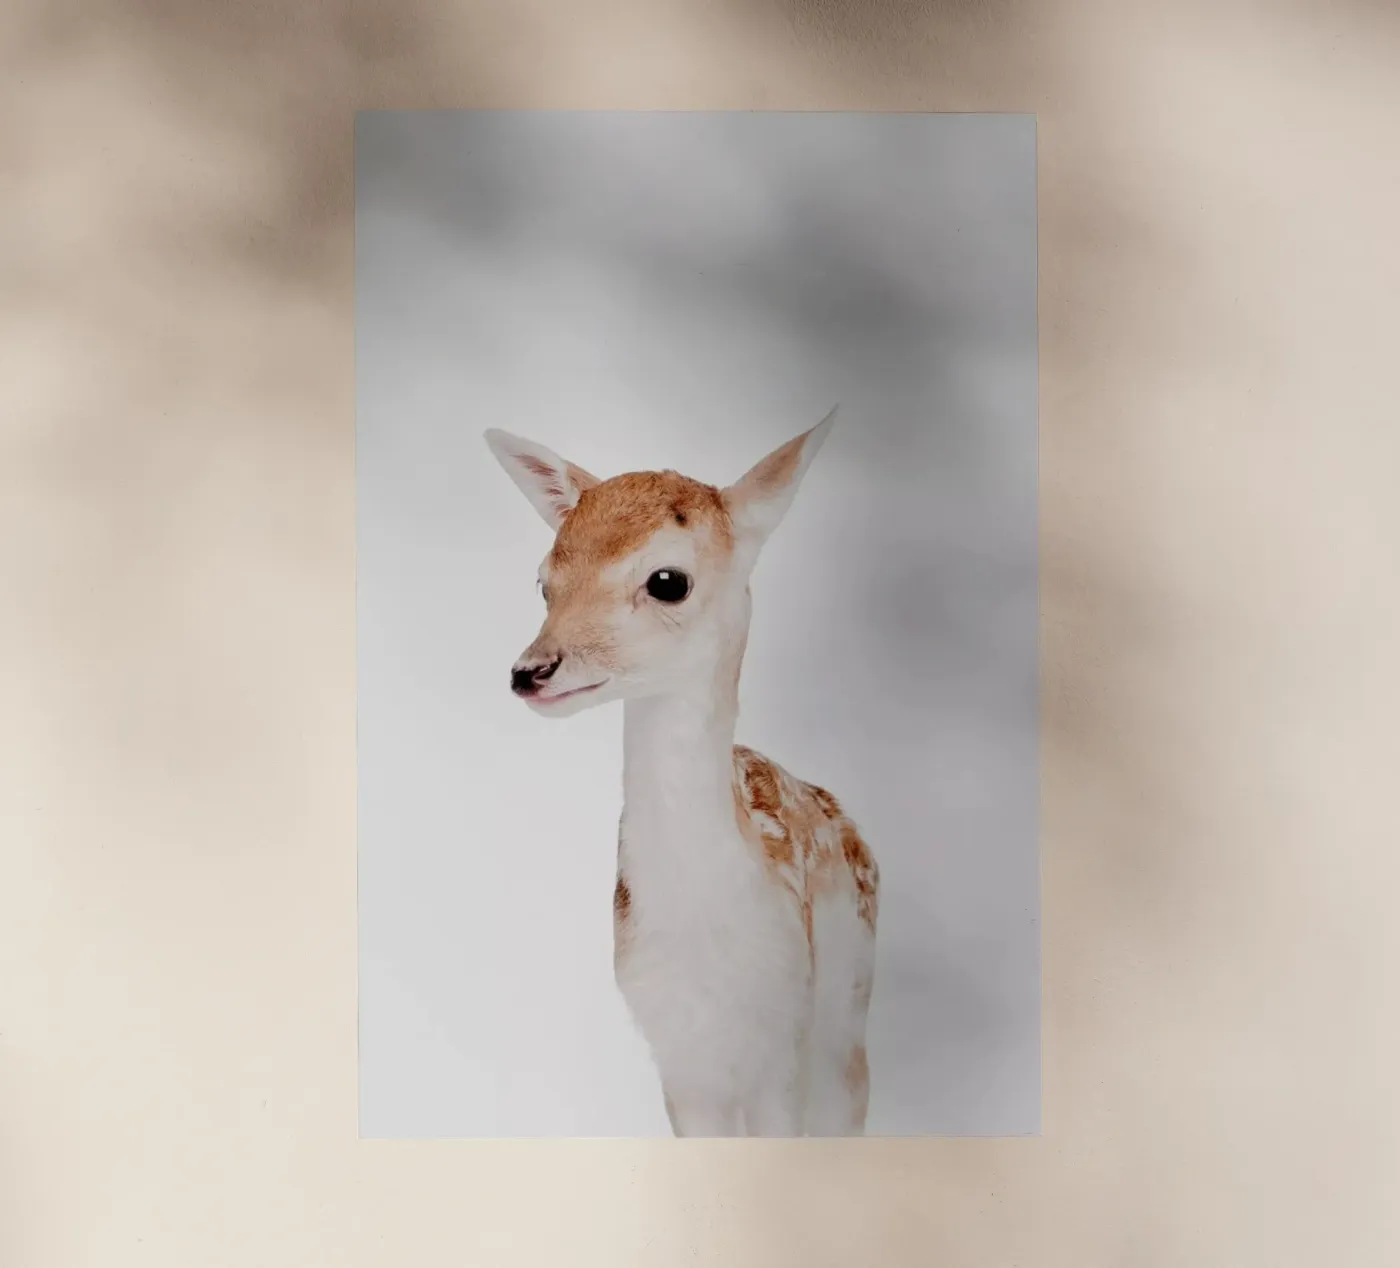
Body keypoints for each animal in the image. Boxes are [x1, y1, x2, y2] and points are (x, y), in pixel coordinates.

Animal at [484, 412, 879, 1136]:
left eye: (668, 580)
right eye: (544, 580)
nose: (530, 671)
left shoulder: (785, 1041)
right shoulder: (677, 1054)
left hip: (847, 1010)